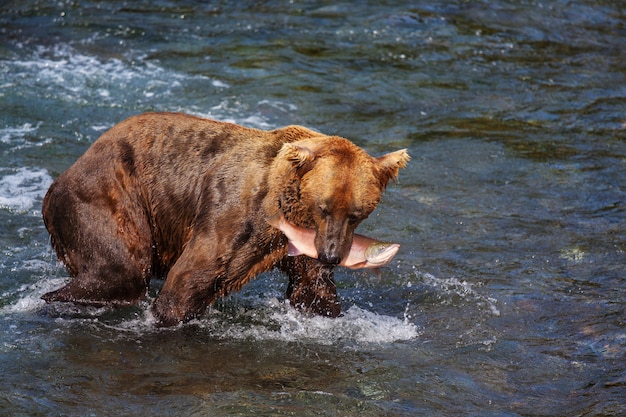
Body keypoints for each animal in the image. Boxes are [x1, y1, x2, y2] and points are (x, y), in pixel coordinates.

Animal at [40, 111, 410, 324]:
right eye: (324, 206)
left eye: (356, 214)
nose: (332, 255)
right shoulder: (232, 216)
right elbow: (186, 282)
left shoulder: (303, 241)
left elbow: (312, 292)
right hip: (108, 196)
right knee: (120, 271)